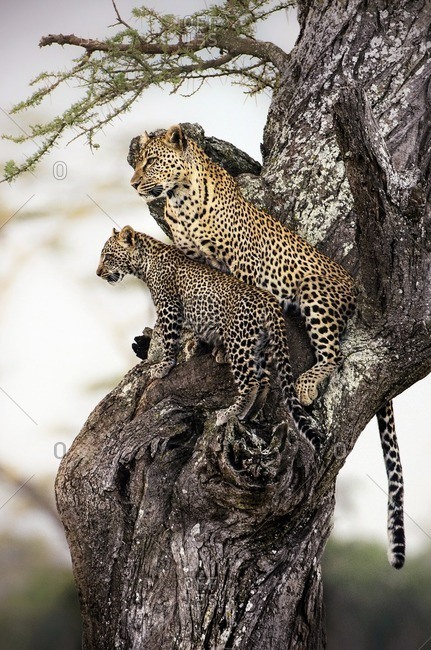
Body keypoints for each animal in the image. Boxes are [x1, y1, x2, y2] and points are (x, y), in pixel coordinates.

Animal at [97, 225, 322, 451]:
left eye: (107, 256)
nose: (98, 273)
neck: (146, 261)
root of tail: (269, 301)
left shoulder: (169, 307)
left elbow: (168, 338)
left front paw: (163, 366)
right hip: (259, 345)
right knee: (264, 381)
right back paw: (249, 414)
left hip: (239, 342)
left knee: (251, 383)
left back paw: (229, 414)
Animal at [127, 124, 405, 569]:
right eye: (137, 162)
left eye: (150, 161)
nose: (135, 184)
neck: (181, 199)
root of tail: (354, 287)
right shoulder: (192, 261)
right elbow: (196, 302)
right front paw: (192, 343)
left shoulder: (241, 263)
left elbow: (236, 300)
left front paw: (220, 347)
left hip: (314, 295)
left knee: (334, 353)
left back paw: (306, 385)